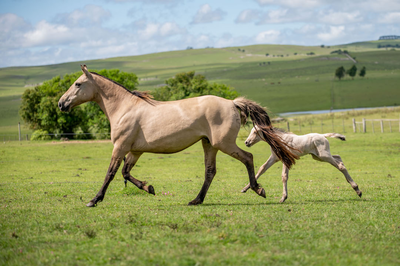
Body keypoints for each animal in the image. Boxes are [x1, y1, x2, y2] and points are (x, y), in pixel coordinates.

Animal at [58, 65, 296, 207]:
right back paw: (196, 200)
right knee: (210, 171)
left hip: (224, 144)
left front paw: (94, 200)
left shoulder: (120, 147)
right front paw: (149, 188)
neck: (124, 108)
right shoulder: (135, 151)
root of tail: (232, 102)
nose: (61, 104)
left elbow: (110, 173)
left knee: (248, 158)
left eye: (78, 84)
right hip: (209, 145)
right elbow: (126, 173)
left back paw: (258, 189)